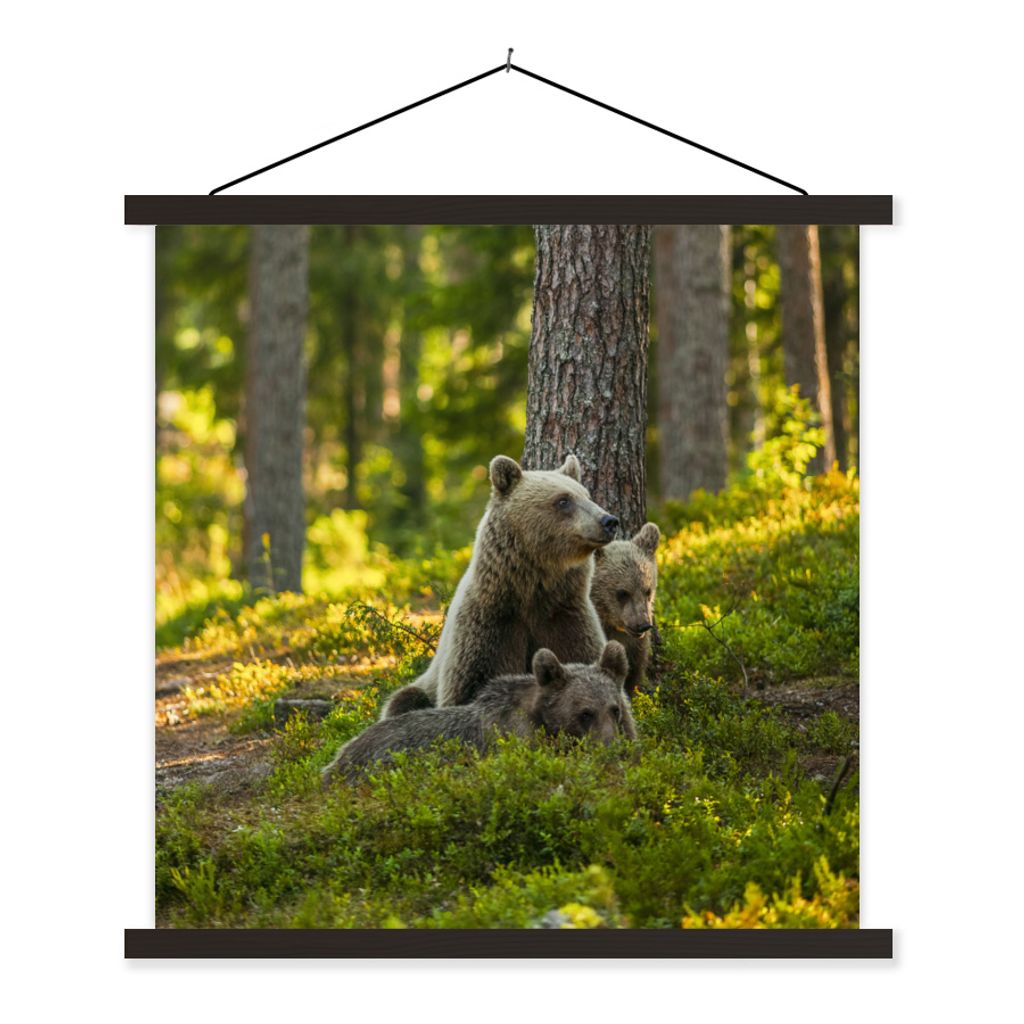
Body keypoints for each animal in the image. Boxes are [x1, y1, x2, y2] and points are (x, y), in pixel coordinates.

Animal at [380, 453, 617, 718]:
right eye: (563, 500)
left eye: (587, 495)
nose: (609, 521)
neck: (531, 589)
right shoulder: (490, 624)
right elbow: (471, 685)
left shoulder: (565, 617)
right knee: (404, 699)